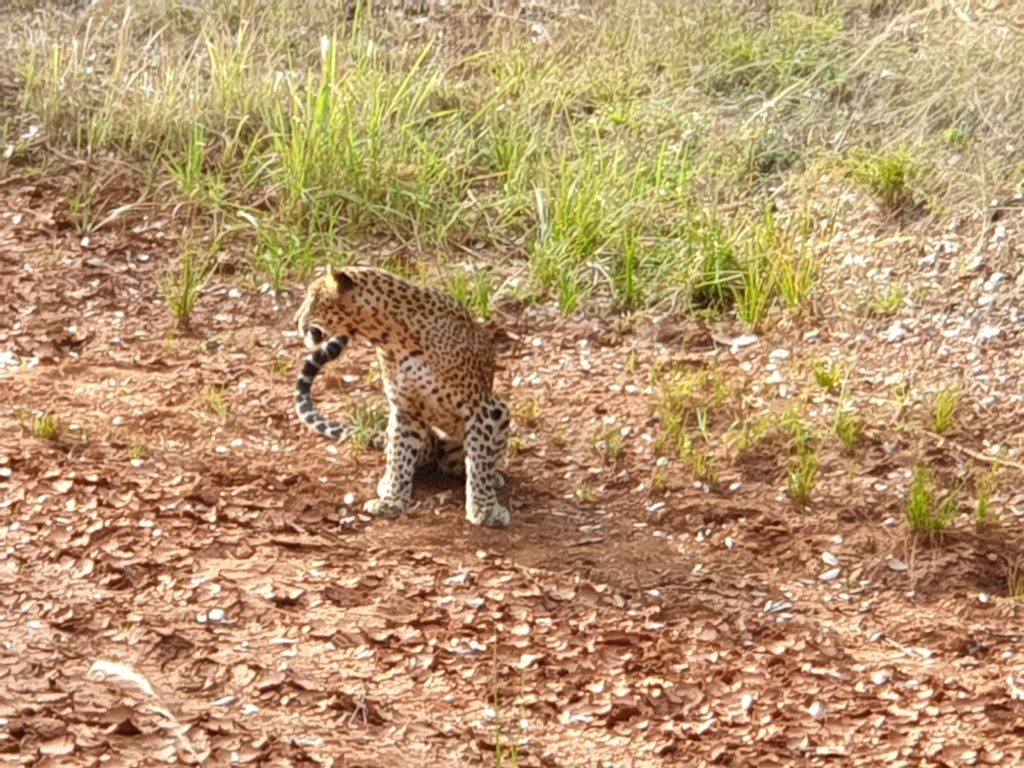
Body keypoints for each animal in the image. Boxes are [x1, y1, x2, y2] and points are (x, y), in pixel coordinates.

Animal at [292, 266, 512, 528]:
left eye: (313, 299)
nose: (295, 321)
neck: (391, 338)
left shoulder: (479, 407)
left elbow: (479, 461)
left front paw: (485, 508)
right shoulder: (406, 409)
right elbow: (400, 456)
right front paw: (391, 500)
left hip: (501, 411)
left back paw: (493, 477)